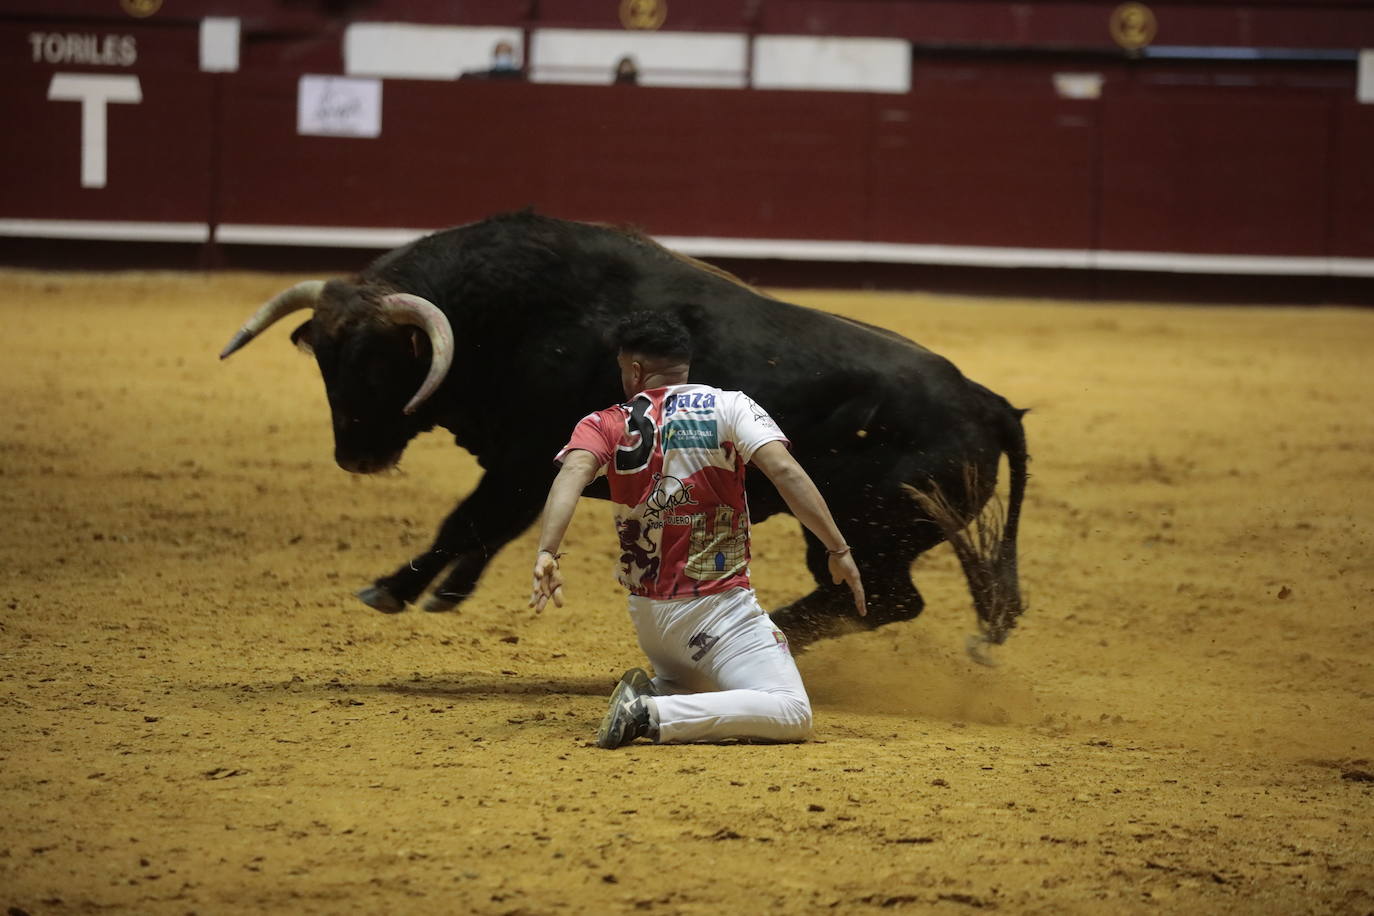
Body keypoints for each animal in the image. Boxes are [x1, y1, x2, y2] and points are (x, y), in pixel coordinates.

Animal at [217, 211, 1033, 656]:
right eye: (325, 359)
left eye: (381, 362)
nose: (355, 455)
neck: (507, 312)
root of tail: (983, 397)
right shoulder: (530, 467)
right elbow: (495, 529)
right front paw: (448, 592)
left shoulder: (523, 460)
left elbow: (466, 521)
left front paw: (390, 588)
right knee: (876, 598)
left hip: (868, 529)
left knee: (884, 598)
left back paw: (778, 624)